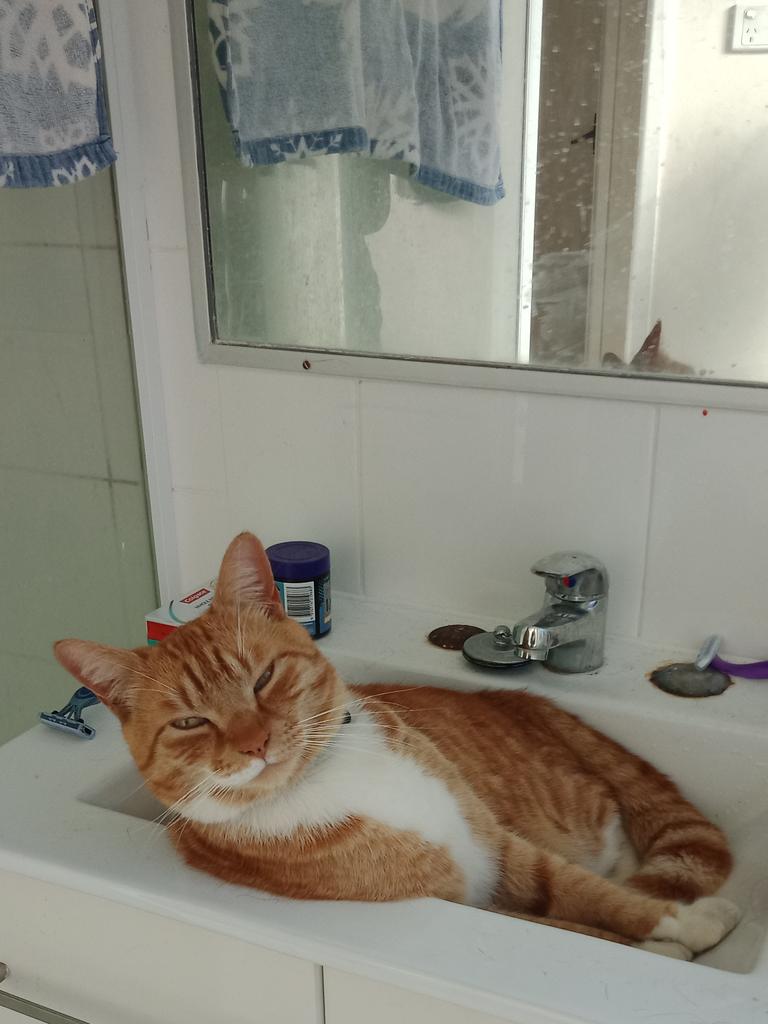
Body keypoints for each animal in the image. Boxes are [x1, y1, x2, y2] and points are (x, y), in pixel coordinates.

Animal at [54, 532, 741, 954]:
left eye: (264, 678)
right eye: (190, 724)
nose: (256, 743)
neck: (329, 775)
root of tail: (529, 701)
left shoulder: (501, 845)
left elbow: (592, 896)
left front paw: (683, 923)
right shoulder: (467, 901)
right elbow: (582, 928)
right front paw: (671, 939)